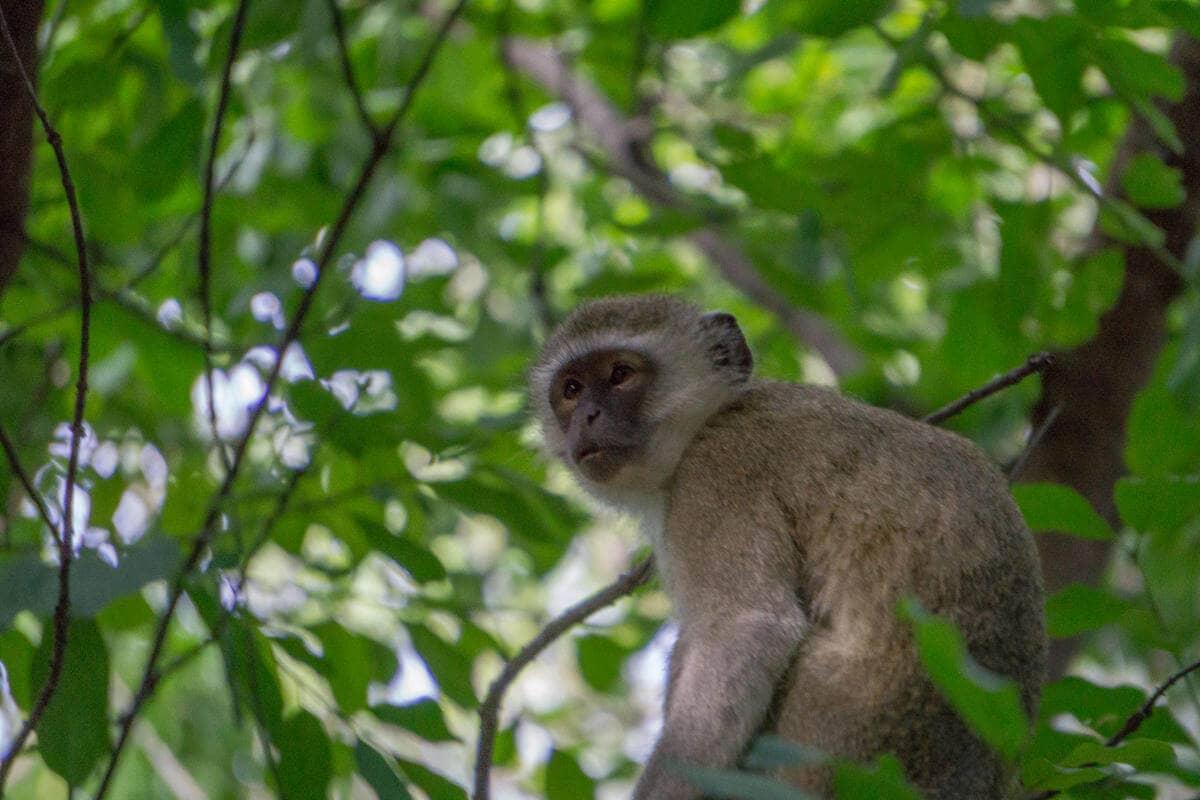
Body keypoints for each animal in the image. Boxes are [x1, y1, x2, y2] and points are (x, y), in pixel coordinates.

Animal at [530, 295, 1046, 799]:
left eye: (620, 374)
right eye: (572, 389)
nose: (587, 416)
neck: (712, 418)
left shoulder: (718, 473)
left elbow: (747, 630)